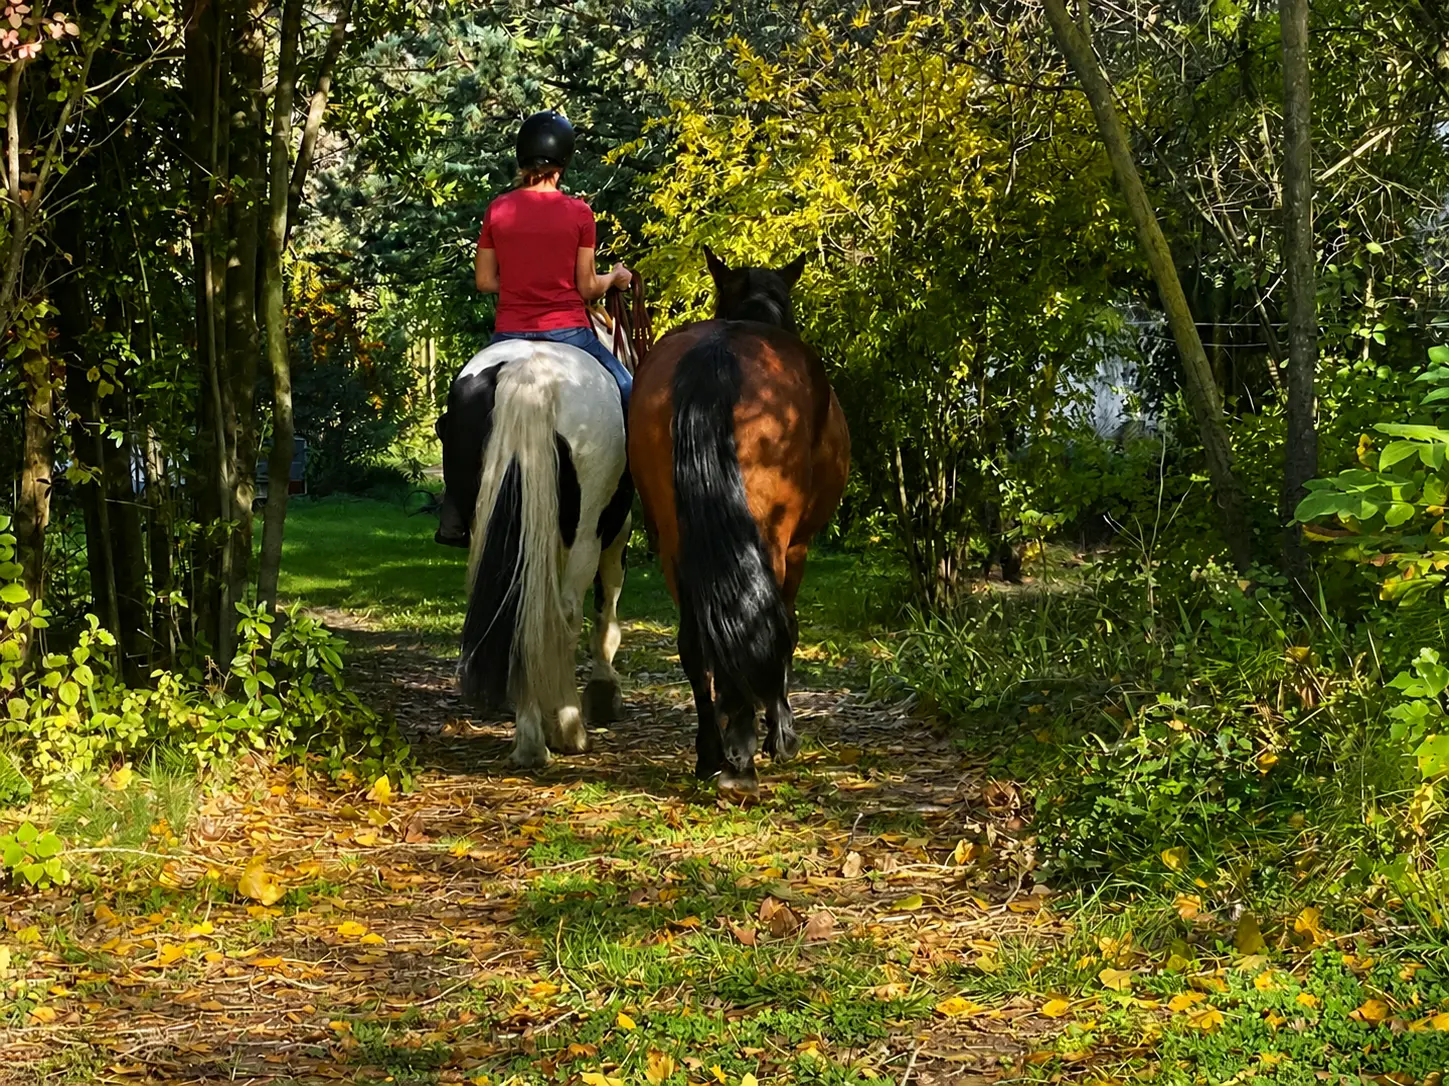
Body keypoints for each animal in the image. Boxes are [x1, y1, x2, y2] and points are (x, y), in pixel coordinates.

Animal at [448, 310, 634, 767]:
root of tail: (528, 374)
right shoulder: (616, 533)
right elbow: (606, 608)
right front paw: (604, 691)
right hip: (586, 535)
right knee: (564, 614)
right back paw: (565, 729)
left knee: (519, 605)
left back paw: (531, 738)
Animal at [628, 248, 850, 792]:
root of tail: (717, 355)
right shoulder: (797, 548)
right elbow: (787, 629)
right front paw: (780, 736)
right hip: (769, 537)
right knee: (760, 624)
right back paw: (745, 753)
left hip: (677, 546)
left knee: (695, 642)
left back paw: (712, 752)